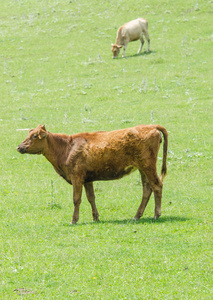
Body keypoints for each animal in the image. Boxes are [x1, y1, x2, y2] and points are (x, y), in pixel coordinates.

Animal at [16, 123, 167, 224]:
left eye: (34, 136)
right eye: (28, 134)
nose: (19, 147)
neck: (66, 148)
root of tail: (150, 126)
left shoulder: (77, 177)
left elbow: (77, 199)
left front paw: (74, 220)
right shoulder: (88, 179)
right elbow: (91, 198)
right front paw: (95, 217)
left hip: (148, 166)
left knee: (157, 185)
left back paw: (156, 214)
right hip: (142, 168)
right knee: (147, 189)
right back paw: (137, 216)